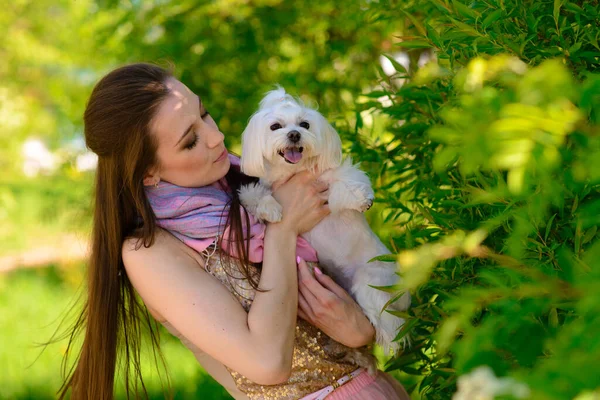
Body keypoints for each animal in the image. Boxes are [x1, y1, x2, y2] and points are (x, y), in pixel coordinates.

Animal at [237, 86, 410, 356]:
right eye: (275, 126)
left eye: (304, 124)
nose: (295, 134)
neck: (292, 172)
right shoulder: (258, 190)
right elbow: (254, 195)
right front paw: (271, 209)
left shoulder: (334, 174)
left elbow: (346, 180)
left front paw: (362, 199)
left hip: (371, 281)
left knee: (389, 322)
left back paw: (389, 340)